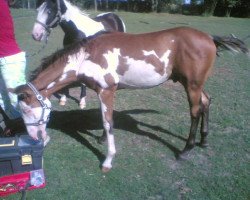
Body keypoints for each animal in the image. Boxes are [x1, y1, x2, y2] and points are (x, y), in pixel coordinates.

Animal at [13, 27, 248, 172]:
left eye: (26, 109)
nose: (35, 137)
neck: (87, 56)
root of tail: (210, 38)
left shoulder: (106, 91)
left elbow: (108, 122)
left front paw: (108, 160)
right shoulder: (103, 92)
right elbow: (105, 120)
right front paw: (101, 139)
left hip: (191, 86)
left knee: (195, 111)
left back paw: (185, 151)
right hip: (194, 84)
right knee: (207, 102)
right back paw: (204, 140)